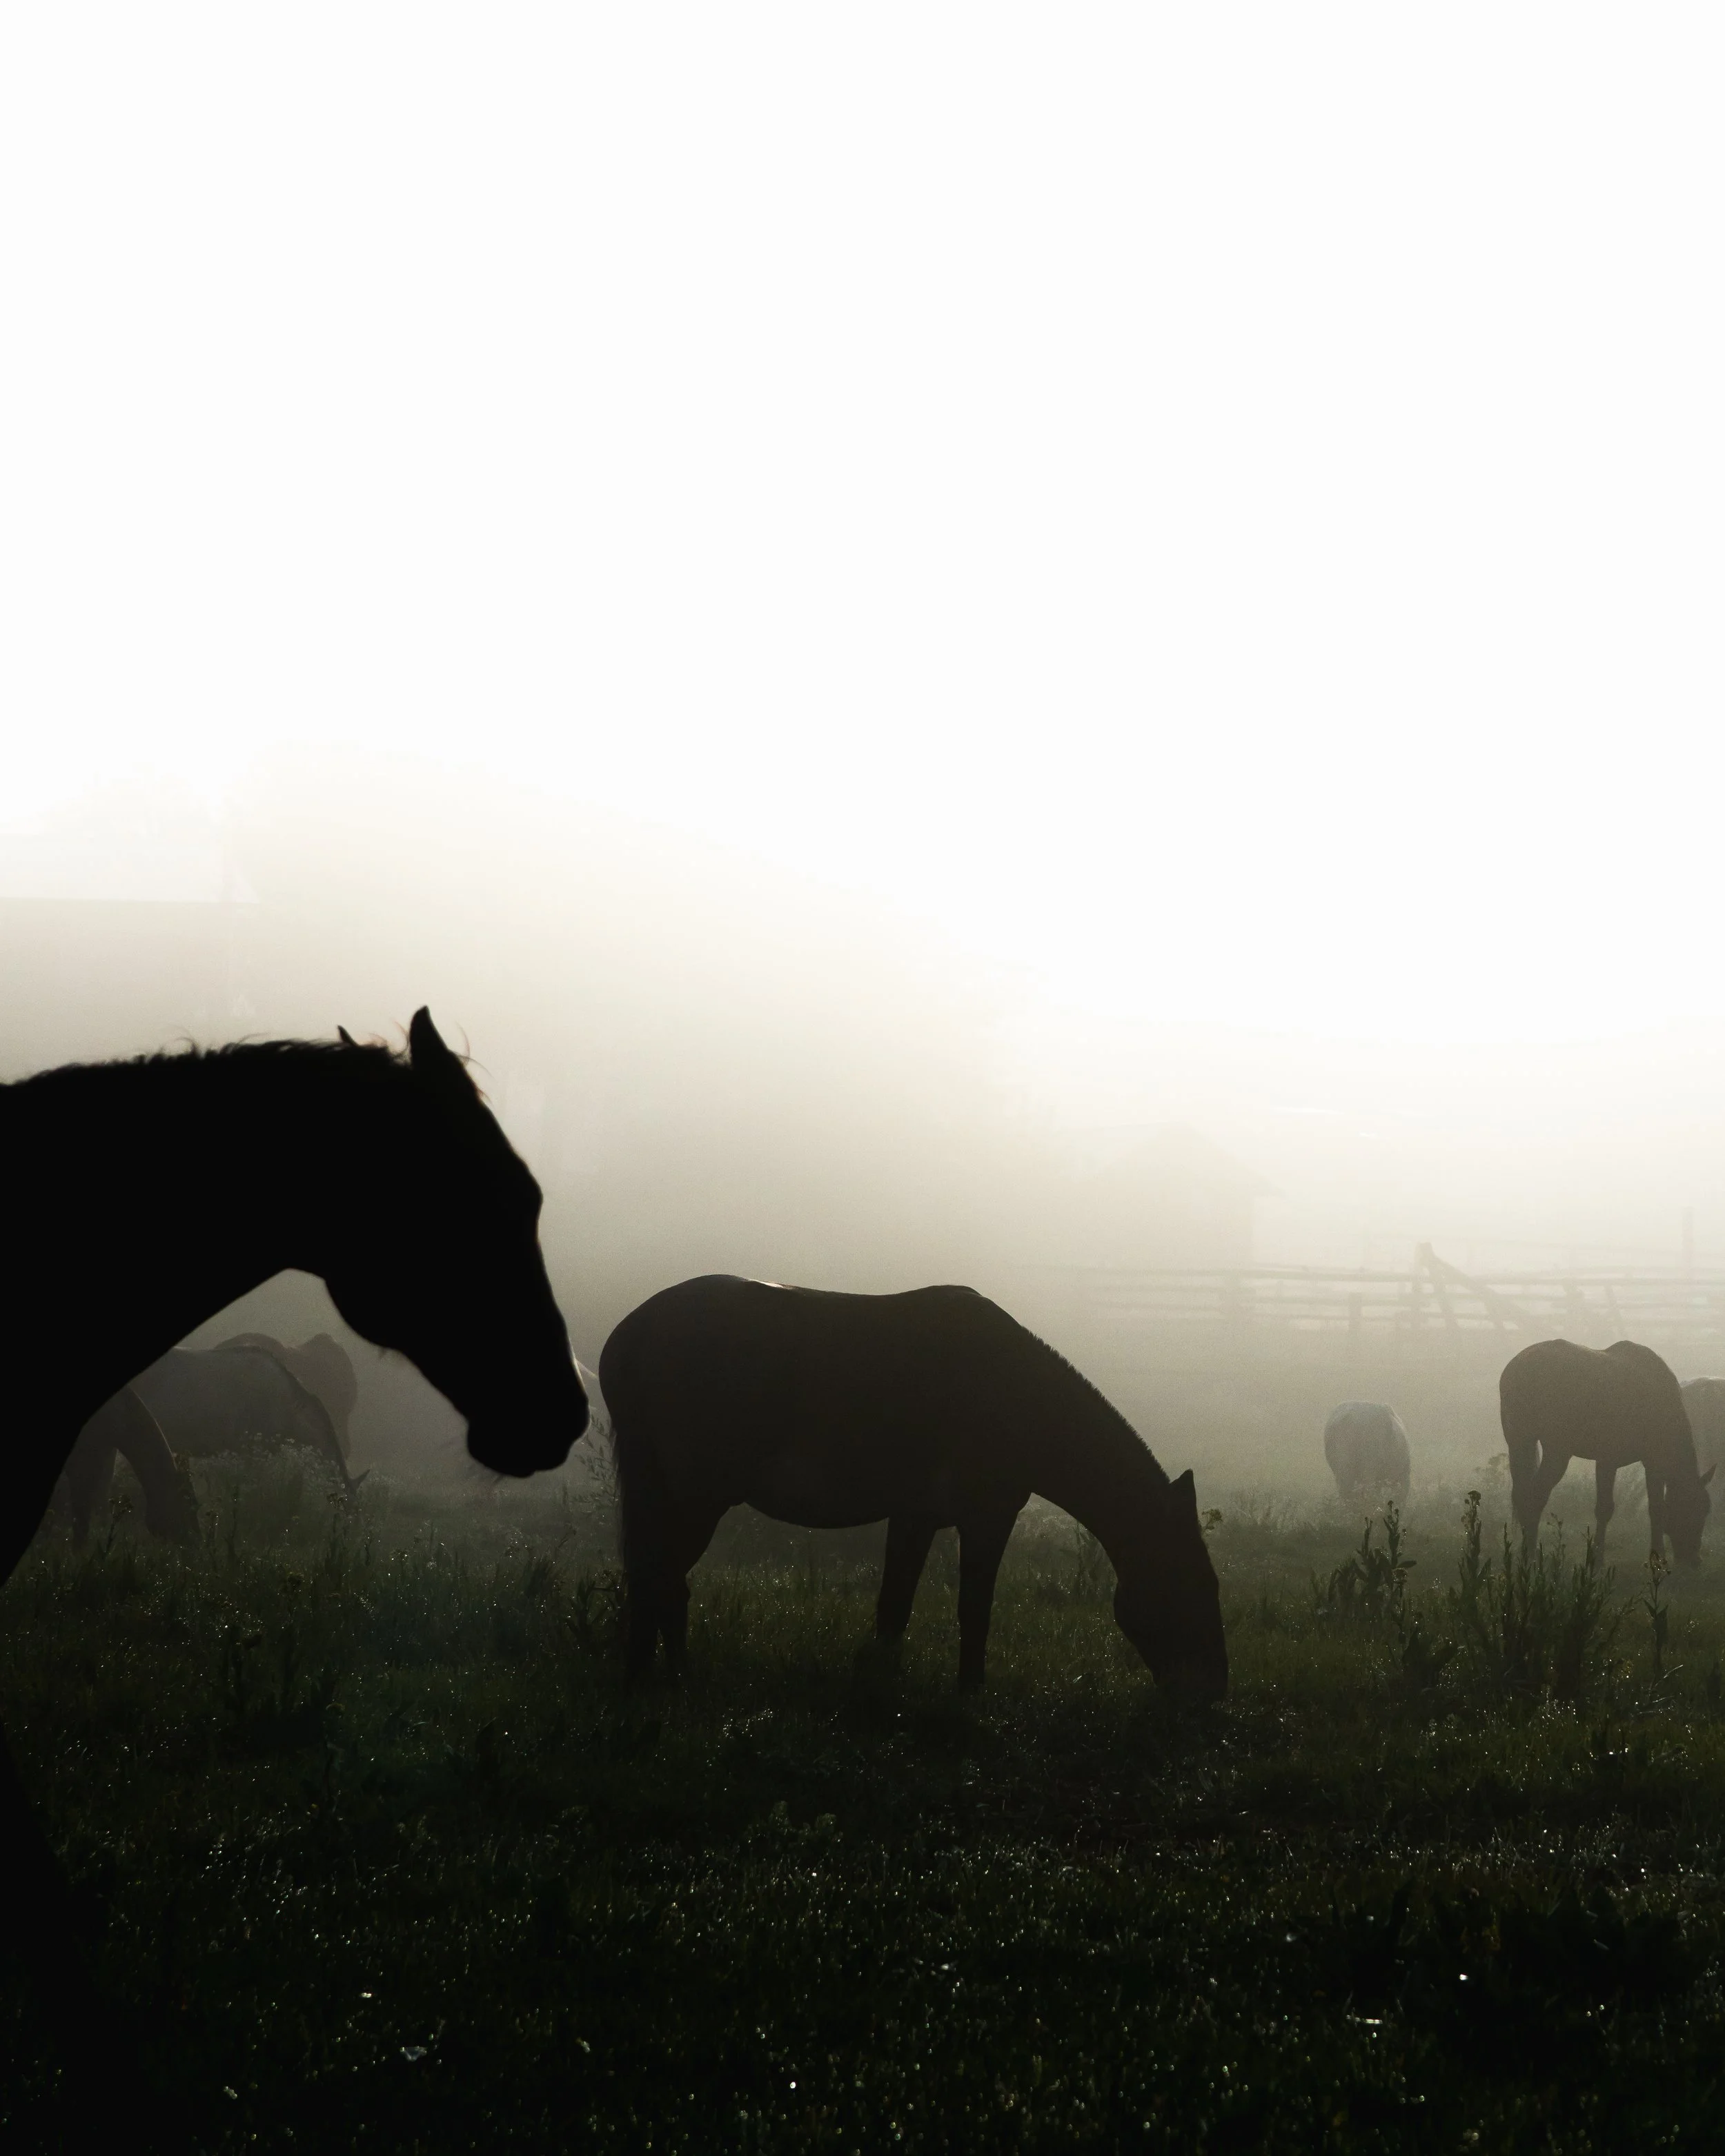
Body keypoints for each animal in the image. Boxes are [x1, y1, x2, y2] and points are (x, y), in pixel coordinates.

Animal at [599, 1274, 1227, 1699]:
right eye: (1196, 1584)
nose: (1214, 1693)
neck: (1016, 1396)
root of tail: (633, 1333)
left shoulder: (916, 1516)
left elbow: (893, 1607)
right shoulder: (985, 1517)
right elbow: (973, 1608)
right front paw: (970, 1693)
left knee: (662, 1582)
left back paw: (661, 1678)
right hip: (696, 1498)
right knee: (662, 1580)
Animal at [1500, 1337, 1714, 1563]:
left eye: (1706, 1510)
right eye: (1688, 1510)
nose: (1694, 1560)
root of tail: (1519, 1369)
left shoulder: (1641, 1462)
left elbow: (1653, 1508)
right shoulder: (1614, 1460)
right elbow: (1607, 1509)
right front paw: (1597, 1558)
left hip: (1519, 1443)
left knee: (1522, 1495)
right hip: (1557, 1452)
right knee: (1535, 1496)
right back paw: (1531, 1556)